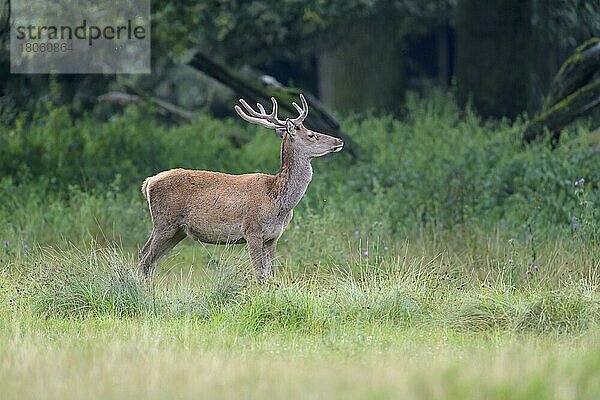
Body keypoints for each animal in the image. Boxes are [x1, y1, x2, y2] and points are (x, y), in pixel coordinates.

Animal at [137, 94, 342, 282]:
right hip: (164, 222)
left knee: (150, 260)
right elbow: (260, 274)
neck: (277, 201)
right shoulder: (252, 231)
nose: (339, 140)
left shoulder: (273, 236)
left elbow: (271, 274)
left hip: (178, 231)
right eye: (311, 135)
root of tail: (148, 182)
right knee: (145, 257)